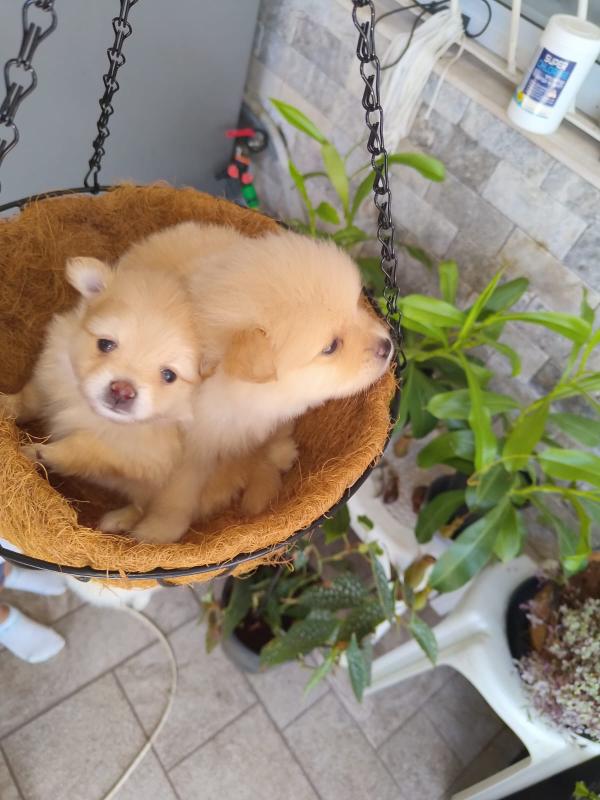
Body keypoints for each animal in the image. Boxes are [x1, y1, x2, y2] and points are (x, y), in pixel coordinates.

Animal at [120, 223, 393, 543]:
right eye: (331, 347)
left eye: (355, 308)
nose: (387, 345)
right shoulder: (190, 450)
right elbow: (179, 491)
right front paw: (161, 530)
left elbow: (272, 434)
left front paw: (279, 451)